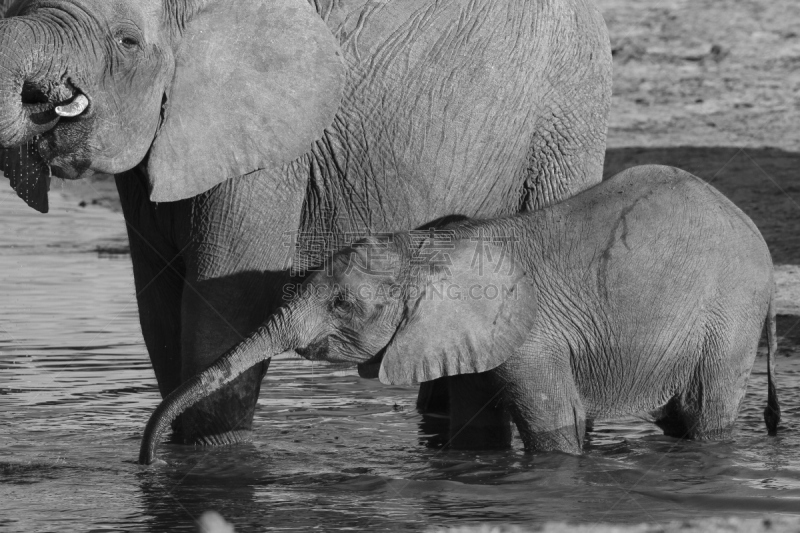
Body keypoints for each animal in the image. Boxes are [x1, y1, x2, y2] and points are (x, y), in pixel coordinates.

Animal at [0, 0, 608, 444]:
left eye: (127, 42)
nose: (46, 102)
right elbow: (159, 315)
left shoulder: (269, 144)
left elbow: (223, 308)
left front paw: (213, 462)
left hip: (566, 124)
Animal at [139, 165, 780, 462]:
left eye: (343, 304)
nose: (146, 463)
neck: (426, 249)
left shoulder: (531, 337)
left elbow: (557, 426)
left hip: (731, 312)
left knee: (705, 409)